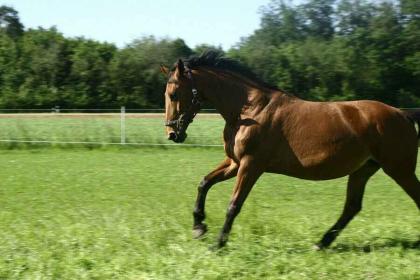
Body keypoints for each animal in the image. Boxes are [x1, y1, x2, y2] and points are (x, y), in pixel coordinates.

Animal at [160, 51, 420, 248]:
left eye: (174, 94)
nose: (172, 134)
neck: (249, 110)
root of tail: (403, 114)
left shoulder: (251, 165)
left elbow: (233, 205)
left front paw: (218, 244)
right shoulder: (235, 162)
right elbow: (204, 183)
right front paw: (198, 226)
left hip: (399, 170)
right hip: (363, 170)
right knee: (352, 207)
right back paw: (321, 243)